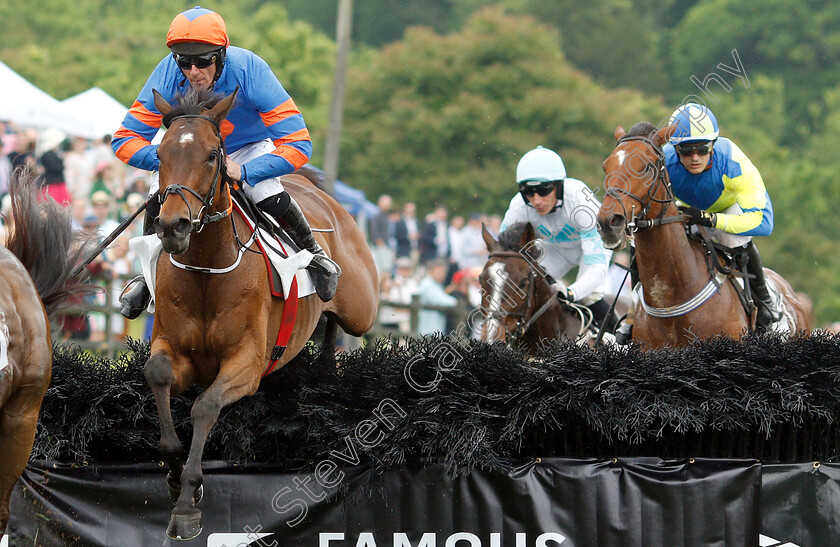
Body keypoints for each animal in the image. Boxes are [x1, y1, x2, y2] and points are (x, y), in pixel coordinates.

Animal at [148, 89, 378, 540]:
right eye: (160, 155)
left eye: (211, 156)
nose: (173, 226)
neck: (206, 270)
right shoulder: (173, 348)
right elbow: (159, 376)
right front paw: (173, 475)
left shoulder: (247, 362)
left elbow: (205, 406)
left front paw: (187, 502)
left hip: (363, 308)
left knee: (346, 320)